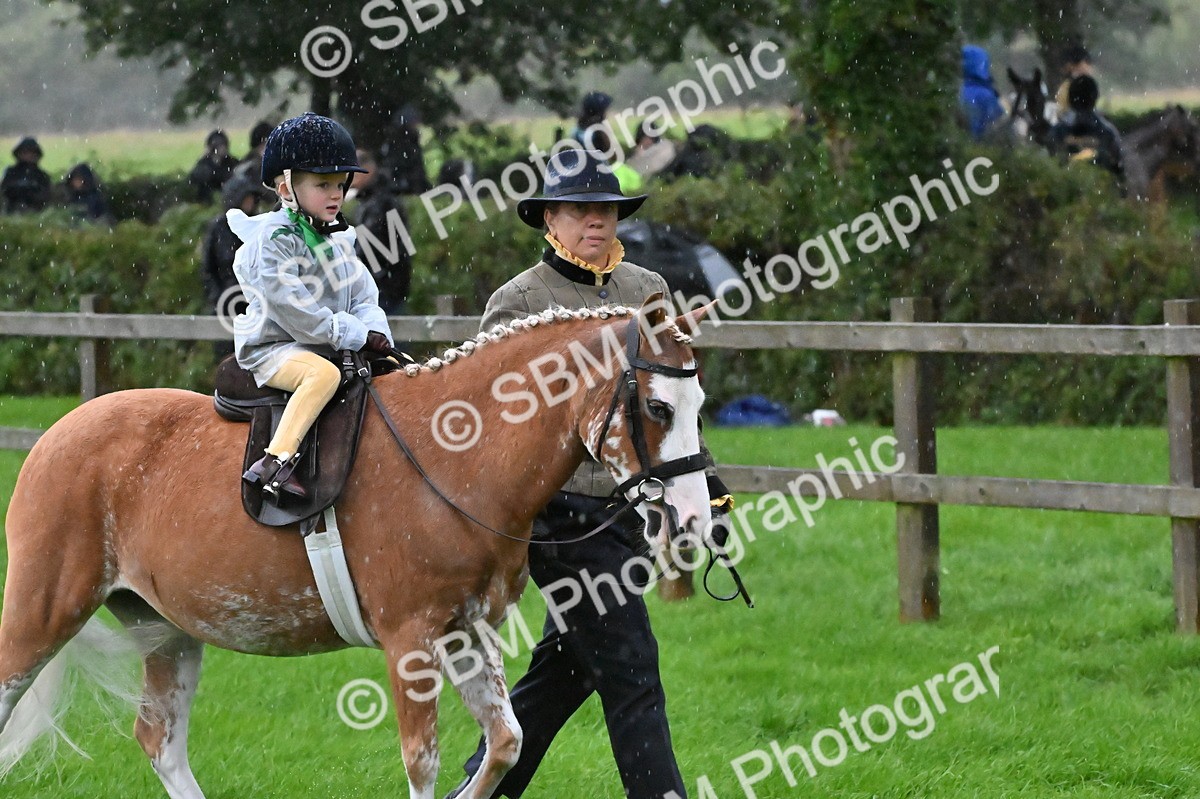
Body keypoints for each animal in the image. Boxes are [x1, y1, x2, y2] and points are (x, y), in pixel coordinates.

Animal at [0, 297, 714, 799]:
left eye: (700, 402)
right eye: (657, 407)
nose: (692, 520)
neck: (456, 455)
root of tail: (57, 433)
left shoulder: (463, 632)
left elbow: (506, 741)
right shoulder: (411, 639)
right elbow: (422, 762)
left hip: (167, 631)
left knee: (161, 741)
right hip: (41, 614)